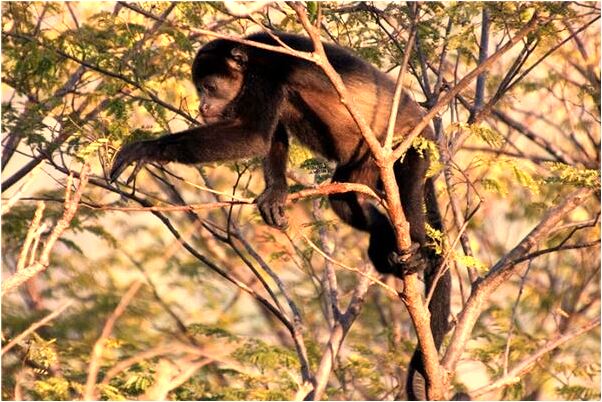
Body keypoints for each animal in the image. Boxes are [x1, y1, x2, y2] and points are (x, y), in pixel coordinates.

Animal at [110, 32, 450, 402]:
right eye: (199, 88)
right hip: (363, 166)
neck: (249, 59)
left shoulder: (266, 76)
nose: (202, 106)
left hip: (413, 147)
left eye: (209, 87)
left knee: (409, 195)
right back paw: (384, 241)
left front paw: (147, 148)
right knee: (345, 200)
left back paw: (416, 251)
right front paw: (275, 193)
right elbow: (271, 136)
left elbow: (253, 136)